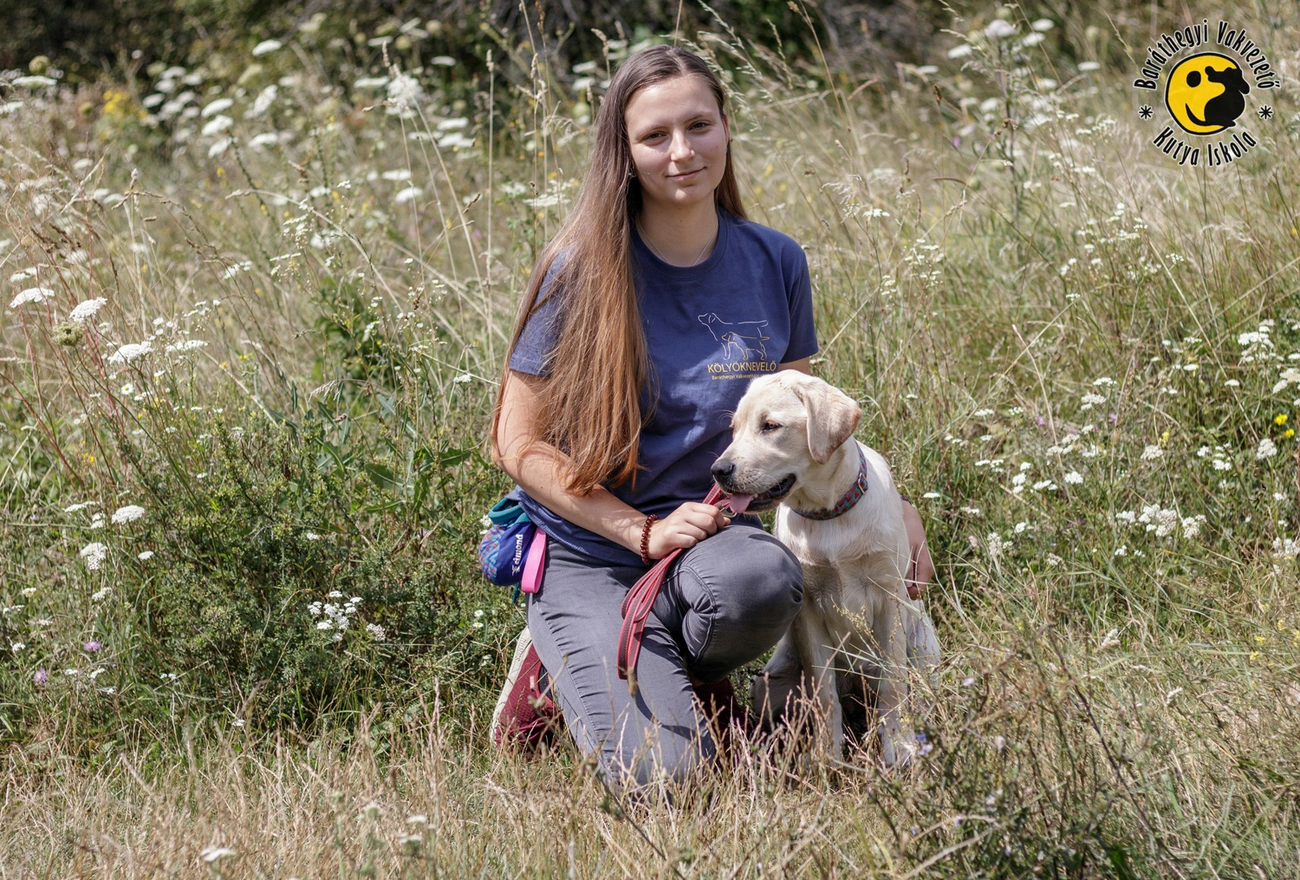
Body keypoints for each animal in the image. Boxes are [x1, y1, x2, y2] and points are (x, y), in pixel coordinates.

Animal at [711, 372, 939, 767]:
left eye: (770, 426)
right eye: (734, 429)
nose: (718, 471)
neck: (828, 514)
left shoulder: (889, 598)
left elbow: (894, 685)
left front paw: (900, 747)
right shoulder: (808, 610)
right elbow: (824, 694)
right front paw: (826, 758)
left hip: (925, 649)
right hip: (769, 683)